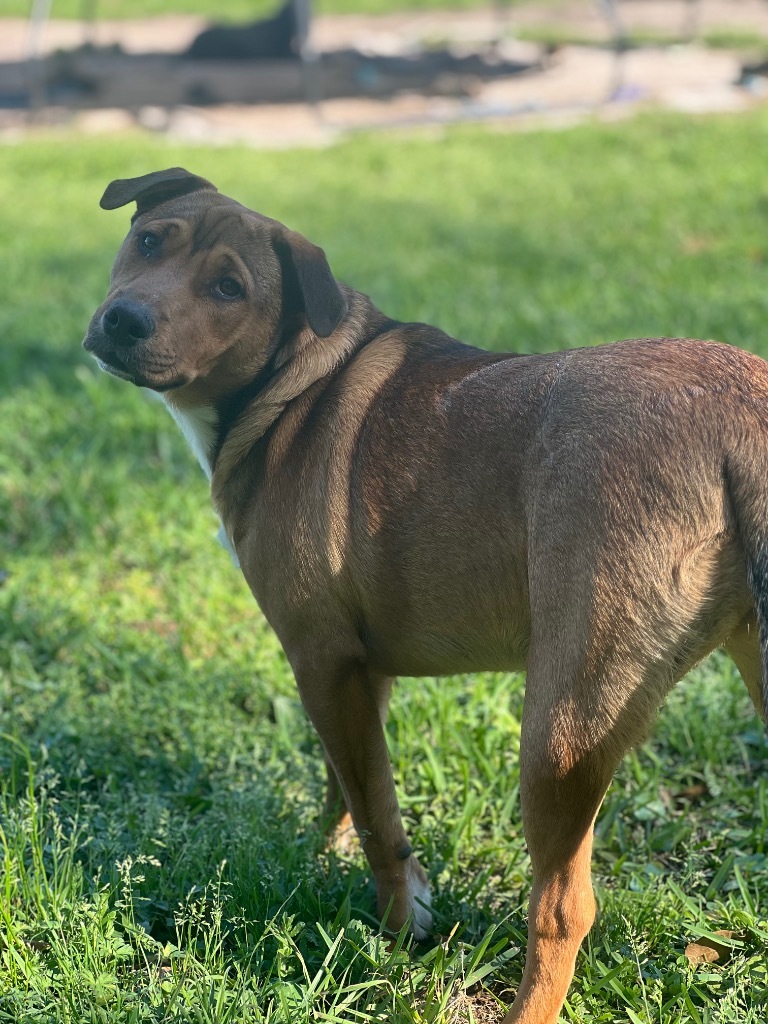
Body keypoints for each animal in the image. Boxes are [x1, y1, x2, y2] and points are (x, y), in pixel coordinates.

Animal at [83, 167, 768, 1024]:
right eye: (149, 241)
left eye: (228, 288)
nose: (124, 319)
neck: (294, 379)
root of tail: (741, 417)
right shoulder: (355, 672)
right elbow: (344, 783)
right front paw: (330, 858)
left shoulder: (323, 659)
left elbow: (377, 809)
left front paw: (397, 920)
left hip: (562, 728)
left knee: (563, 908)